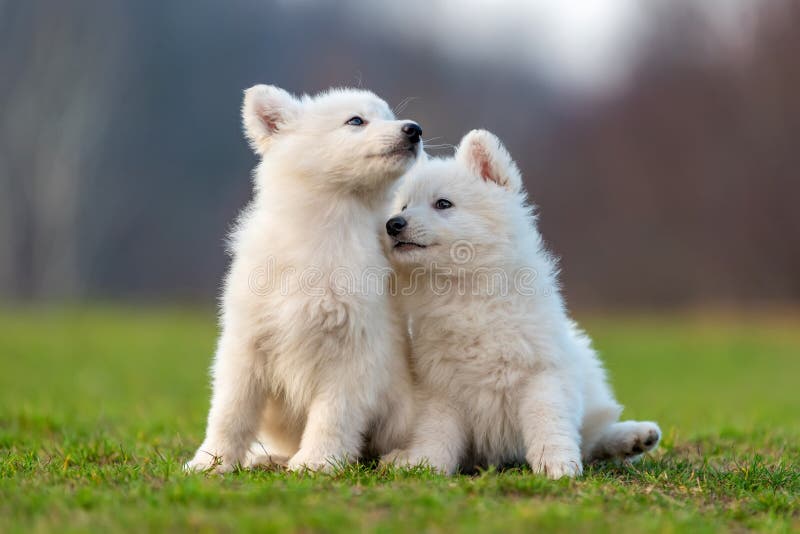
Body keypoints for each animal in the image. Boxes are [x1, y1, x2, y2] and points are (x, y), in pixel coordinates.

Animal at [188, 86, 422, 476]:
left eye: (389, 115)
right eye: (356, 120)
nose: (414, 129)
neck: (328, 228)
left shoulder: (353, 347)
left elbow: (333, 414)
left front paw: (317, 462)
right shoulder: (247, 341)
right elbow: (229, 411)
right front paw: (210, 462)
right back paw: (268, 457)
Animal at [384, 131, 660, 482]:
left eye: (443, 204)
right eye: (404, 205)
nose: (393, 223)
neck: (466, 291)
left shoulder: (541, 373)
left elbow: (549, 422)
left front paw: (557, 465)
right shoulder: (441, 386)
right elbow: (436, 432)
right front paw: (422, 464)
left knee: (592, 433)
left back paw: (634, 437)